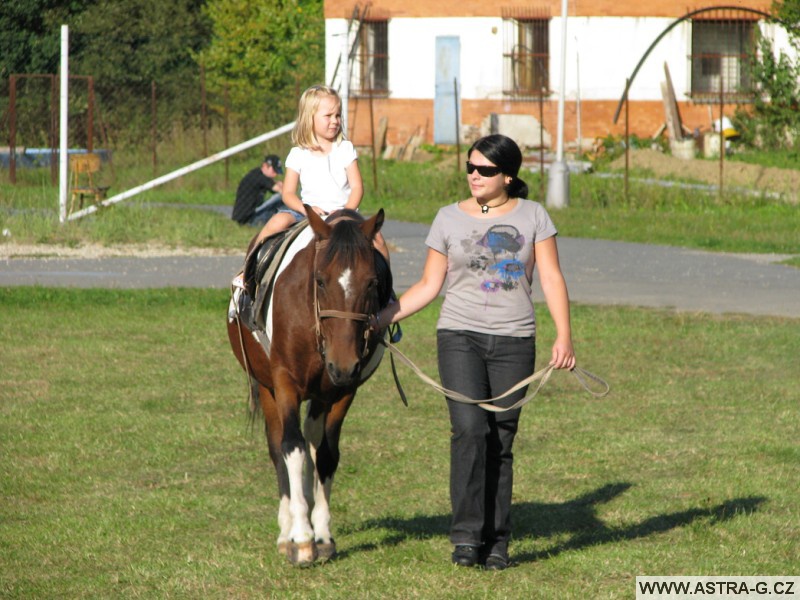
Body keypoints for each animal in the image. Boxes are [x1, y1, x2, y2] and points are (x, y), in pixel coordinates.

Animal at [227, 209, 390, 564]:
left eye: (372, 282)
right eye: (320, 280)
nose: (343, 363)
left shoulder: (344, 390)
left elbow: (326, 454)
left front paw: (323, 535)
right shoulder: (284, 382)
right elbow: (291, 446)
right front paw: (301, 538)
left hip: (321, 395)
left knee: (315, 442)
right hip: (267, 387)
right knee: (279, 447)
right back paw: (287, 530)